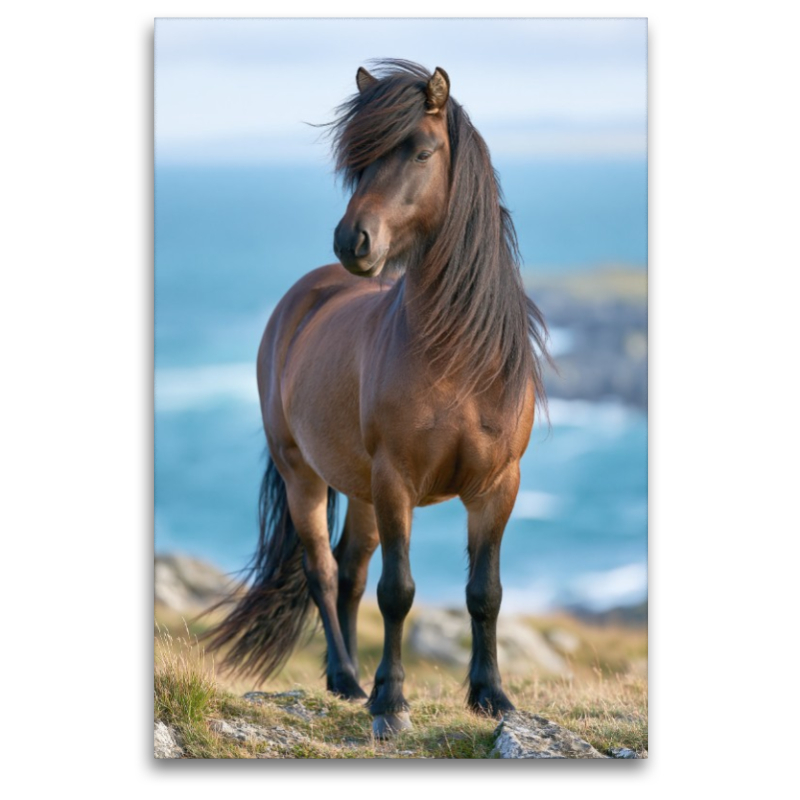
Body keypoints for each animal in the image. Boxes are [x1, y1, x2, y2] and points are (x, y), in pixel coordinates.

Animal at [205, 59, 550, 738]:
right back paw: (347, 679)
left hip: (359, 489)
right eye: (359, 163)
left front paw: (490, 695)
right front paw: (391, 702)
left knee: (351, 570)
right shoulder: (397, 482)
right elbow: (399, 592)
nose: (352, 241)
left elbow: (484, 593)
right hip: (305, 475)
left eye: (421, 151)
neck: (458, 358)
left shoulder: (497, 485)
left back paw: (346, 683)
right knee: (322, 570)